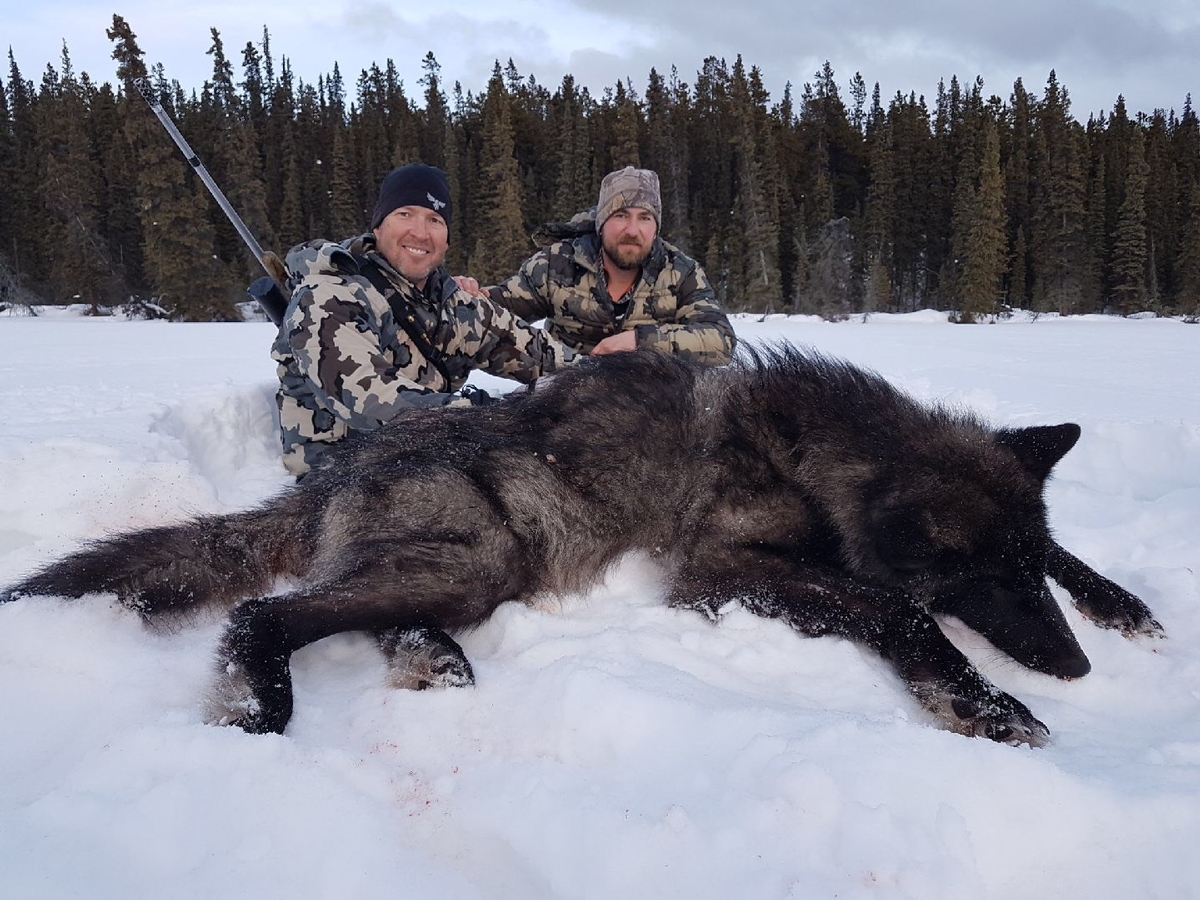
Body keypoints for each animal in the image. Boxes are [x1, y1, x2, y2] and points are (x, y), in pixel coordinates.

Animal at [0, 345, 1161, 748]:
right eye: (986, 576)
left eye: (1025, 565)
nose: (1073, 668)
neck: (812, 453)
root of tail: (336, 471)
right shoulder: (720, 575)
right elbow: (899, 607)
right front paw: (987, 702)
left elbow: (1065, 560)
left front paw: (1123, 604)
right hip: (480, 558)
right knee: (266, 611)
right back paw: (263, 705)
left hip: (463, 564)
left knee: (363, 615)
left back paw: (429, 660)